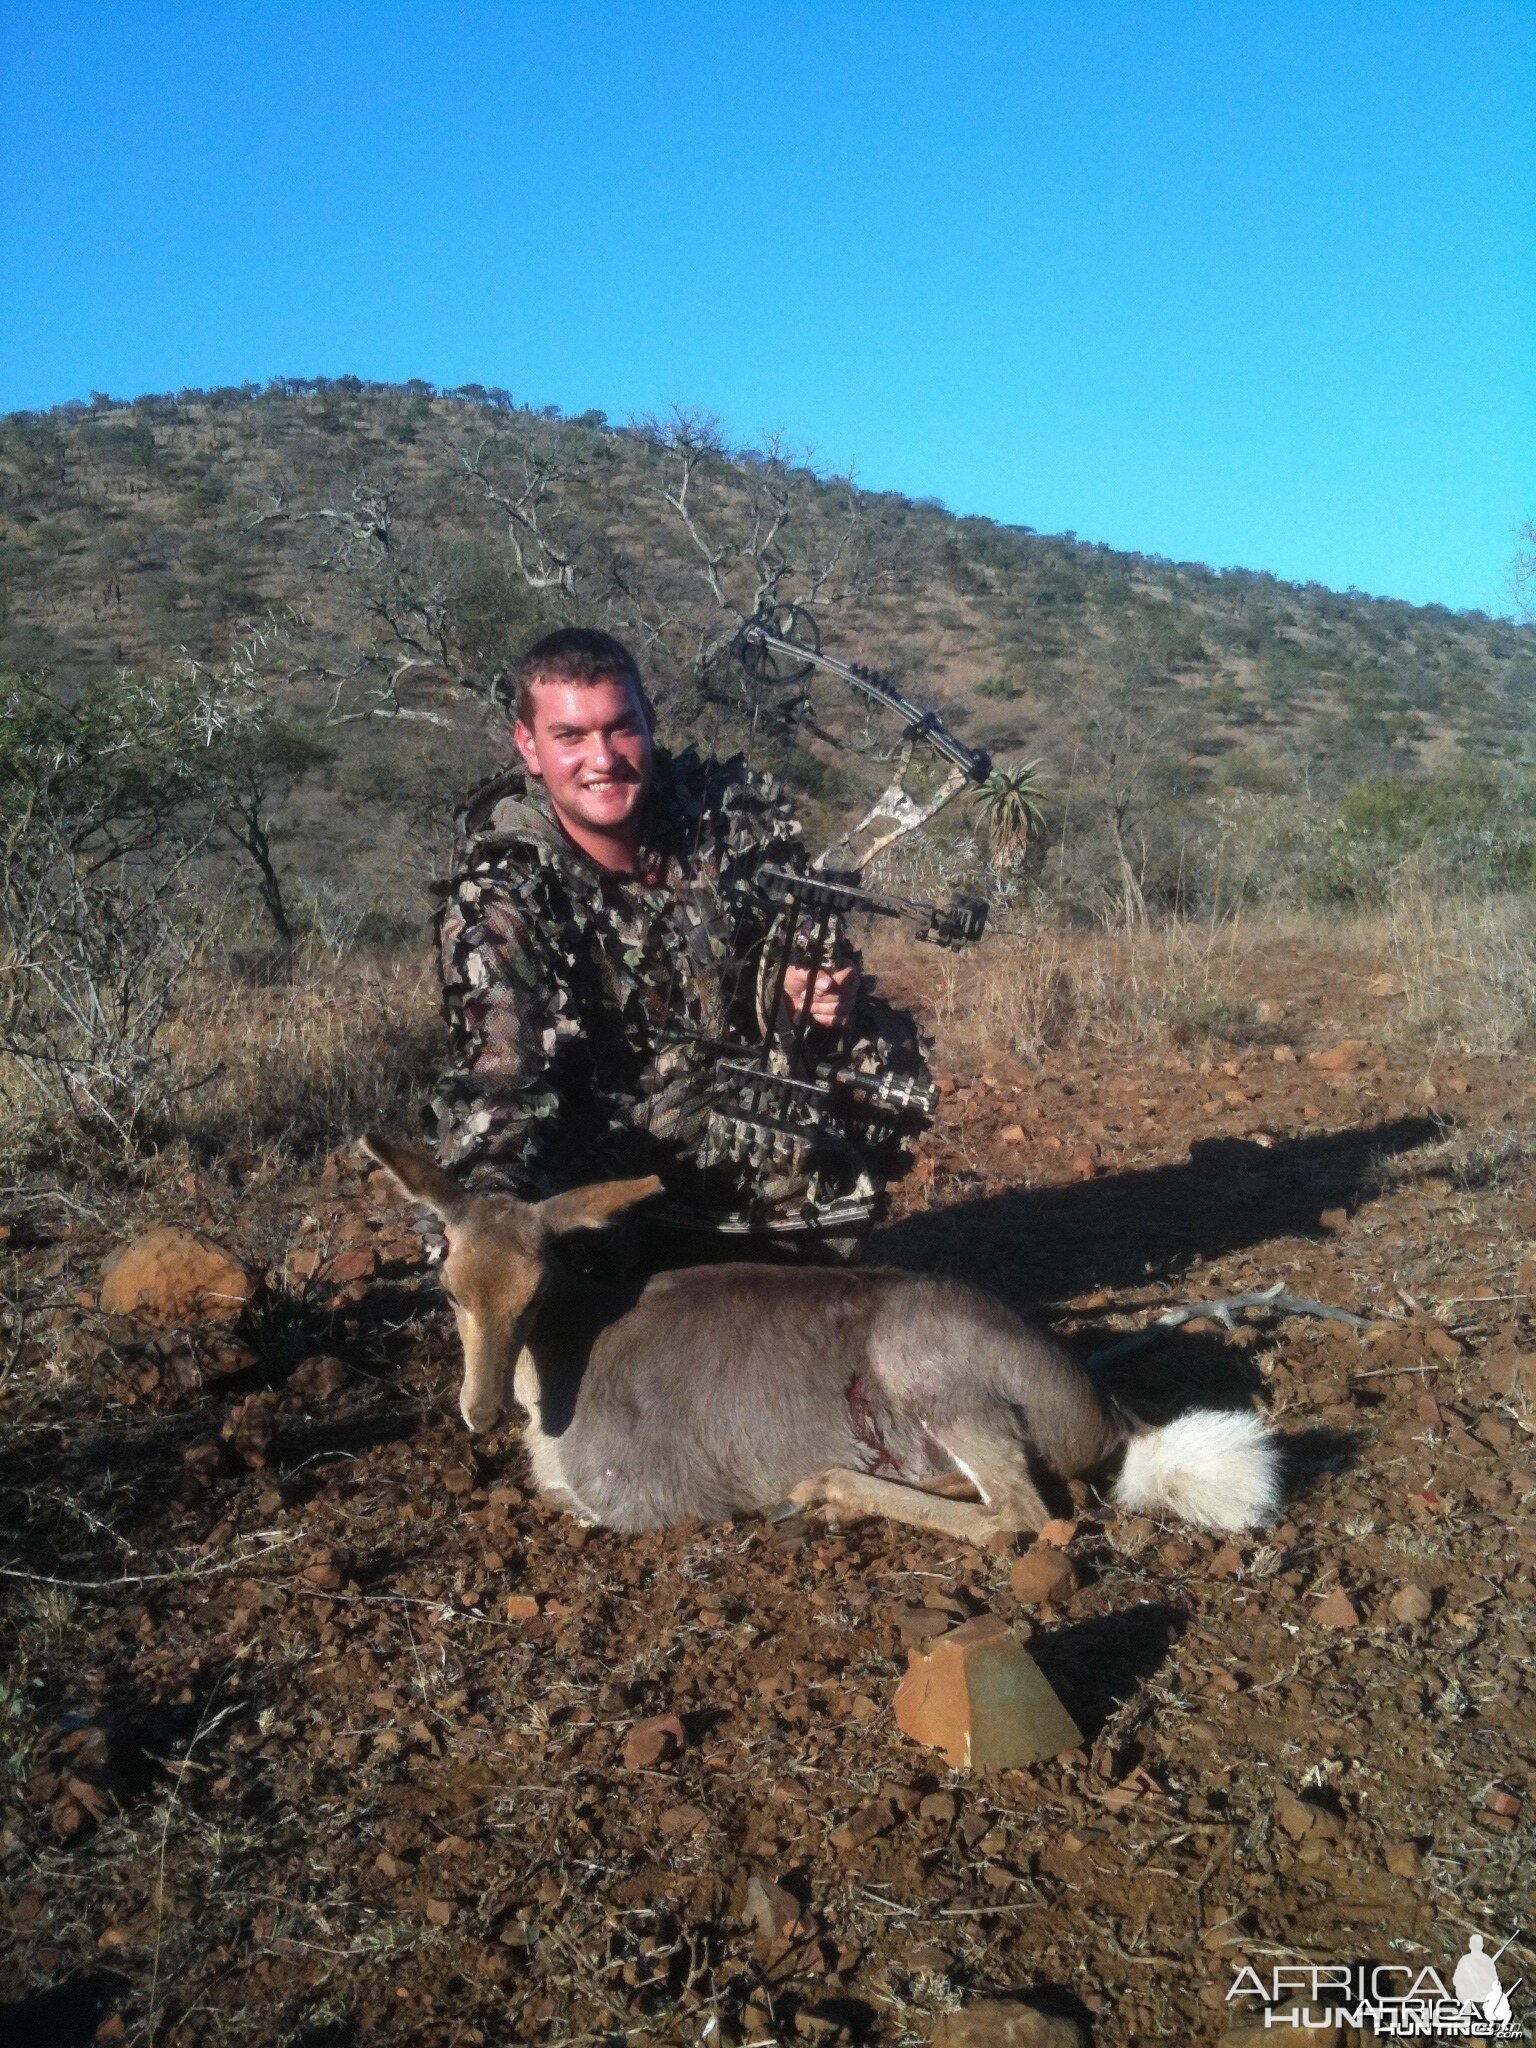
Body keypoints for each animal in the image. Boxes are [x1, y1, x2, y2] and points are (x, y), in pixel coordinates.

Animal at [364, 1138, 1286, 1540]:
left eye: (538, 1287)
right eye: (448, 1288)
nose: (482, 1411)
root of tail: (1110, 1413)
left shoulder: (641, 1504)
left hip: (931, 1375)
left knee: (1018, 1516)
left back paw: (822, 1489)